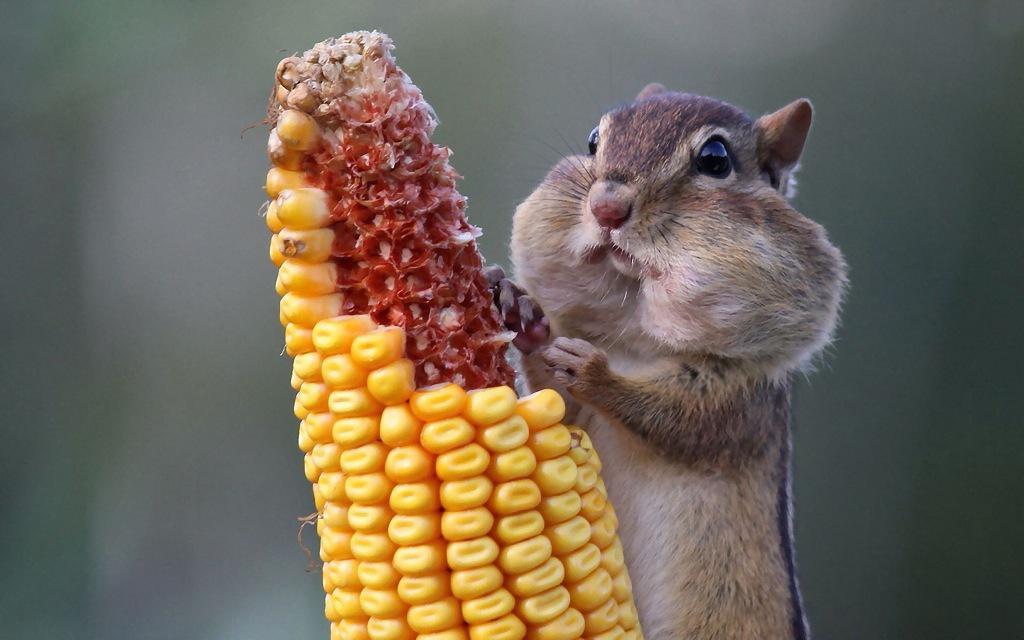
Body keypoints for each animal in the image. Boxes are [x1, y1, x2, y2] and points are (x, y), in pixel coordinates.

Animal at [487, 83, 847, 639]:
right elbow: (557, 404)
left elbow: (678, 420)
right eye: (593, 141)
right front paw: (520, 310)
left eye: (715, 159)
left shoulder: (740, 401)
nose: (607, 206)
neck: (637, 342)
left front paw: (595, 373)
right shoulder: (575, 412)